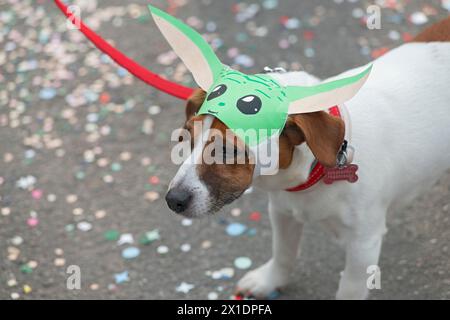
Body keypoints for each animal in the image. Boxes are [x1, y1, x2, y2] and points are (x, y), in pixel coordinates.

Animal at [165, 16, 450, 298]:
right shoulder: (282, 212)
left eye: (228, 150)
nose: (172, 200)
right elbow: (283, 254)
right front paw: (270, 281)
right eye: (186, 138)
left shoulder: (363, 245)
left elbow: (349, 288)